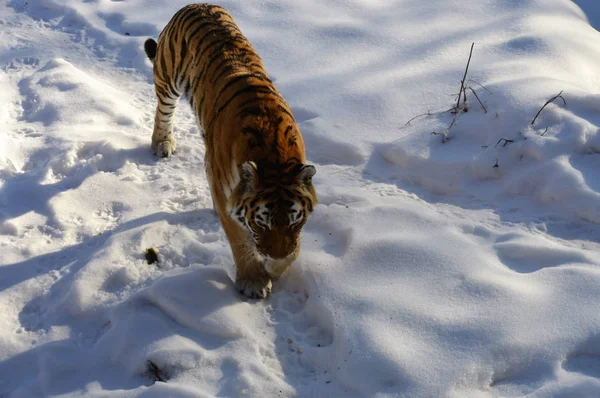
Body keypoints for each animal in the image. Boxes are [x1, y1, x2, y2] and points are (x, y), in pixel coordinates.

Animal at [144, 4, 318, 298]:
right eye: (262, 222)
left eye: (295, 221)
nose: (275, 255)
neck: (275, 158)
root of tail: (195, 4)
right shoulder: (227, 194)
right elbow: (240, 241)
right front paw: (253, 280)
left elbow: (294, 250)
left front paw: (277, 267)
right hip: (168, 79)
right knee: (163, 112)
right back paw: (162, 144)